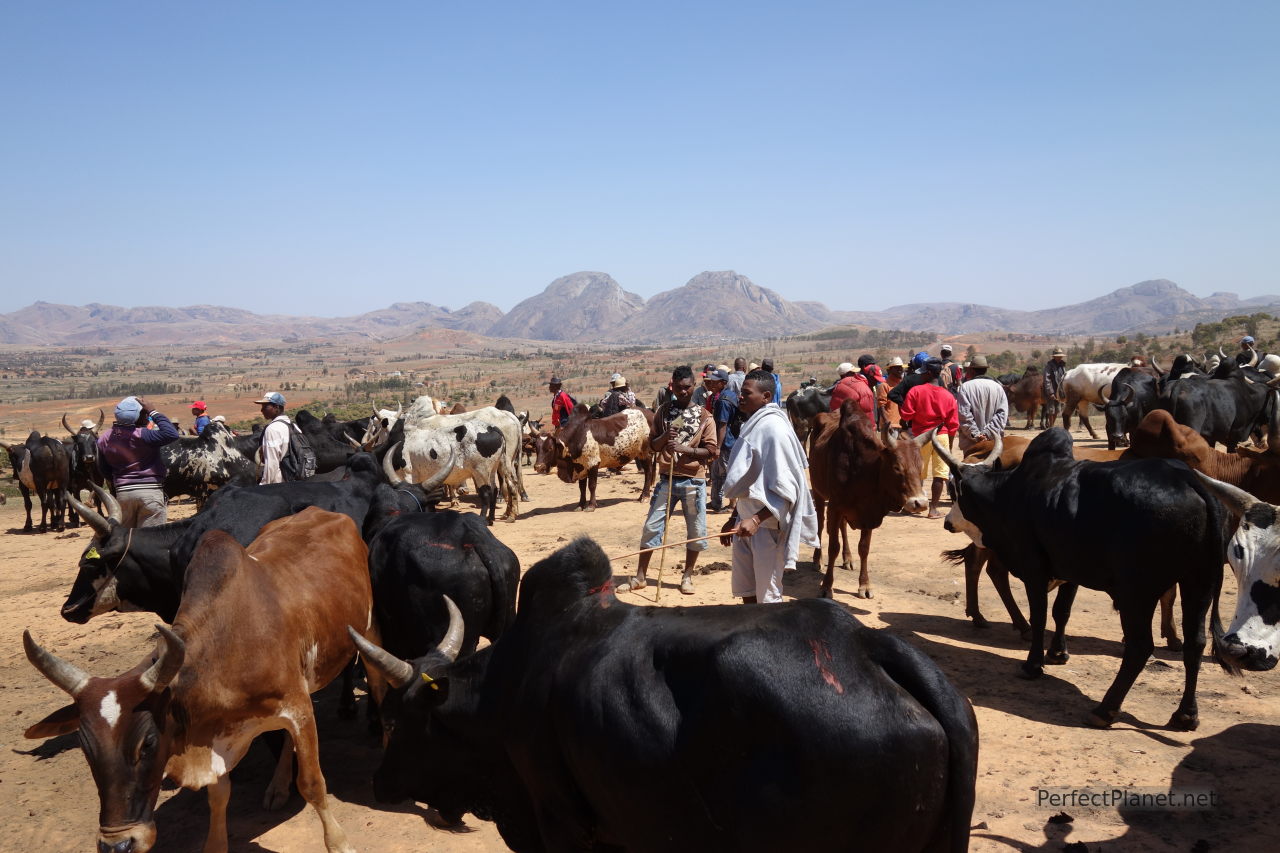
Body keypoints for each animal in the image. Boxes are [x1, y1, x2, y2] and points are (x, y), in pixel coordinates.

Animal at [23, 504, 373, 850]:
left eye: (147, 743)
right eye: (85, 747)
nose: (117, 844)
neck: (230, 645)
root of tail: (321, 510)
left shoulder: (298, 708)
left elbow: (312, 784)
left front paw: (340, 843)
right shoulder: (216, 735)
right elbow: (218, 795)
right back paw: (278, 785)